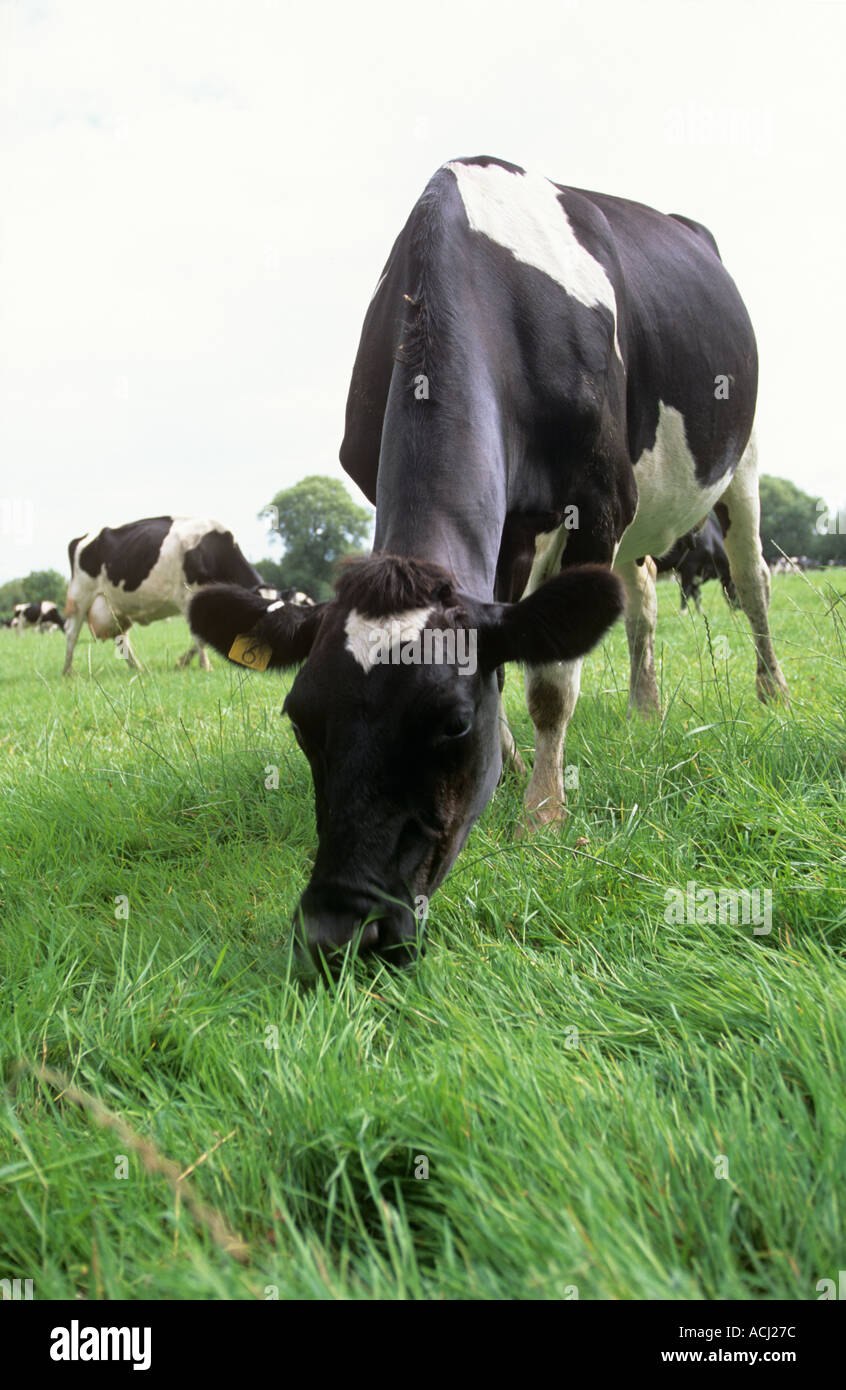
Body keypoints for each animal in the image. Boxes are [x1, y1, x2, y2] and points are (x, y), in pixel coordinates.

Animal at [63, 516, 271, 675]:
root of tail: (83, 538)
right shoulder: (188, 598)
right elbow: (200, 637)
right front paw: (205, 666)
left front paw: (183, 662)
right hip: (80, 596)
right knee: (72, 634)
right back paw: (68, 671)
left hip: (114, 608)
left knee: (121, 639)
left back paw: (137, 668)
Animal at [190, 155, 788, 966]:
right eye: (300, 719)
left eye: (451, 726)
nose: (338, 928)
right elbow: (508, 647)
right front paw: (515, 769)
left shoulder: (599, 500)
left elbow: (551, 680)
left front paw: (543, 810)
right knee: (638, 601)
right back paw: (645, 706)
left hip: (741, 462)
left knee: (752, 581)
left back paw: (772, 690)